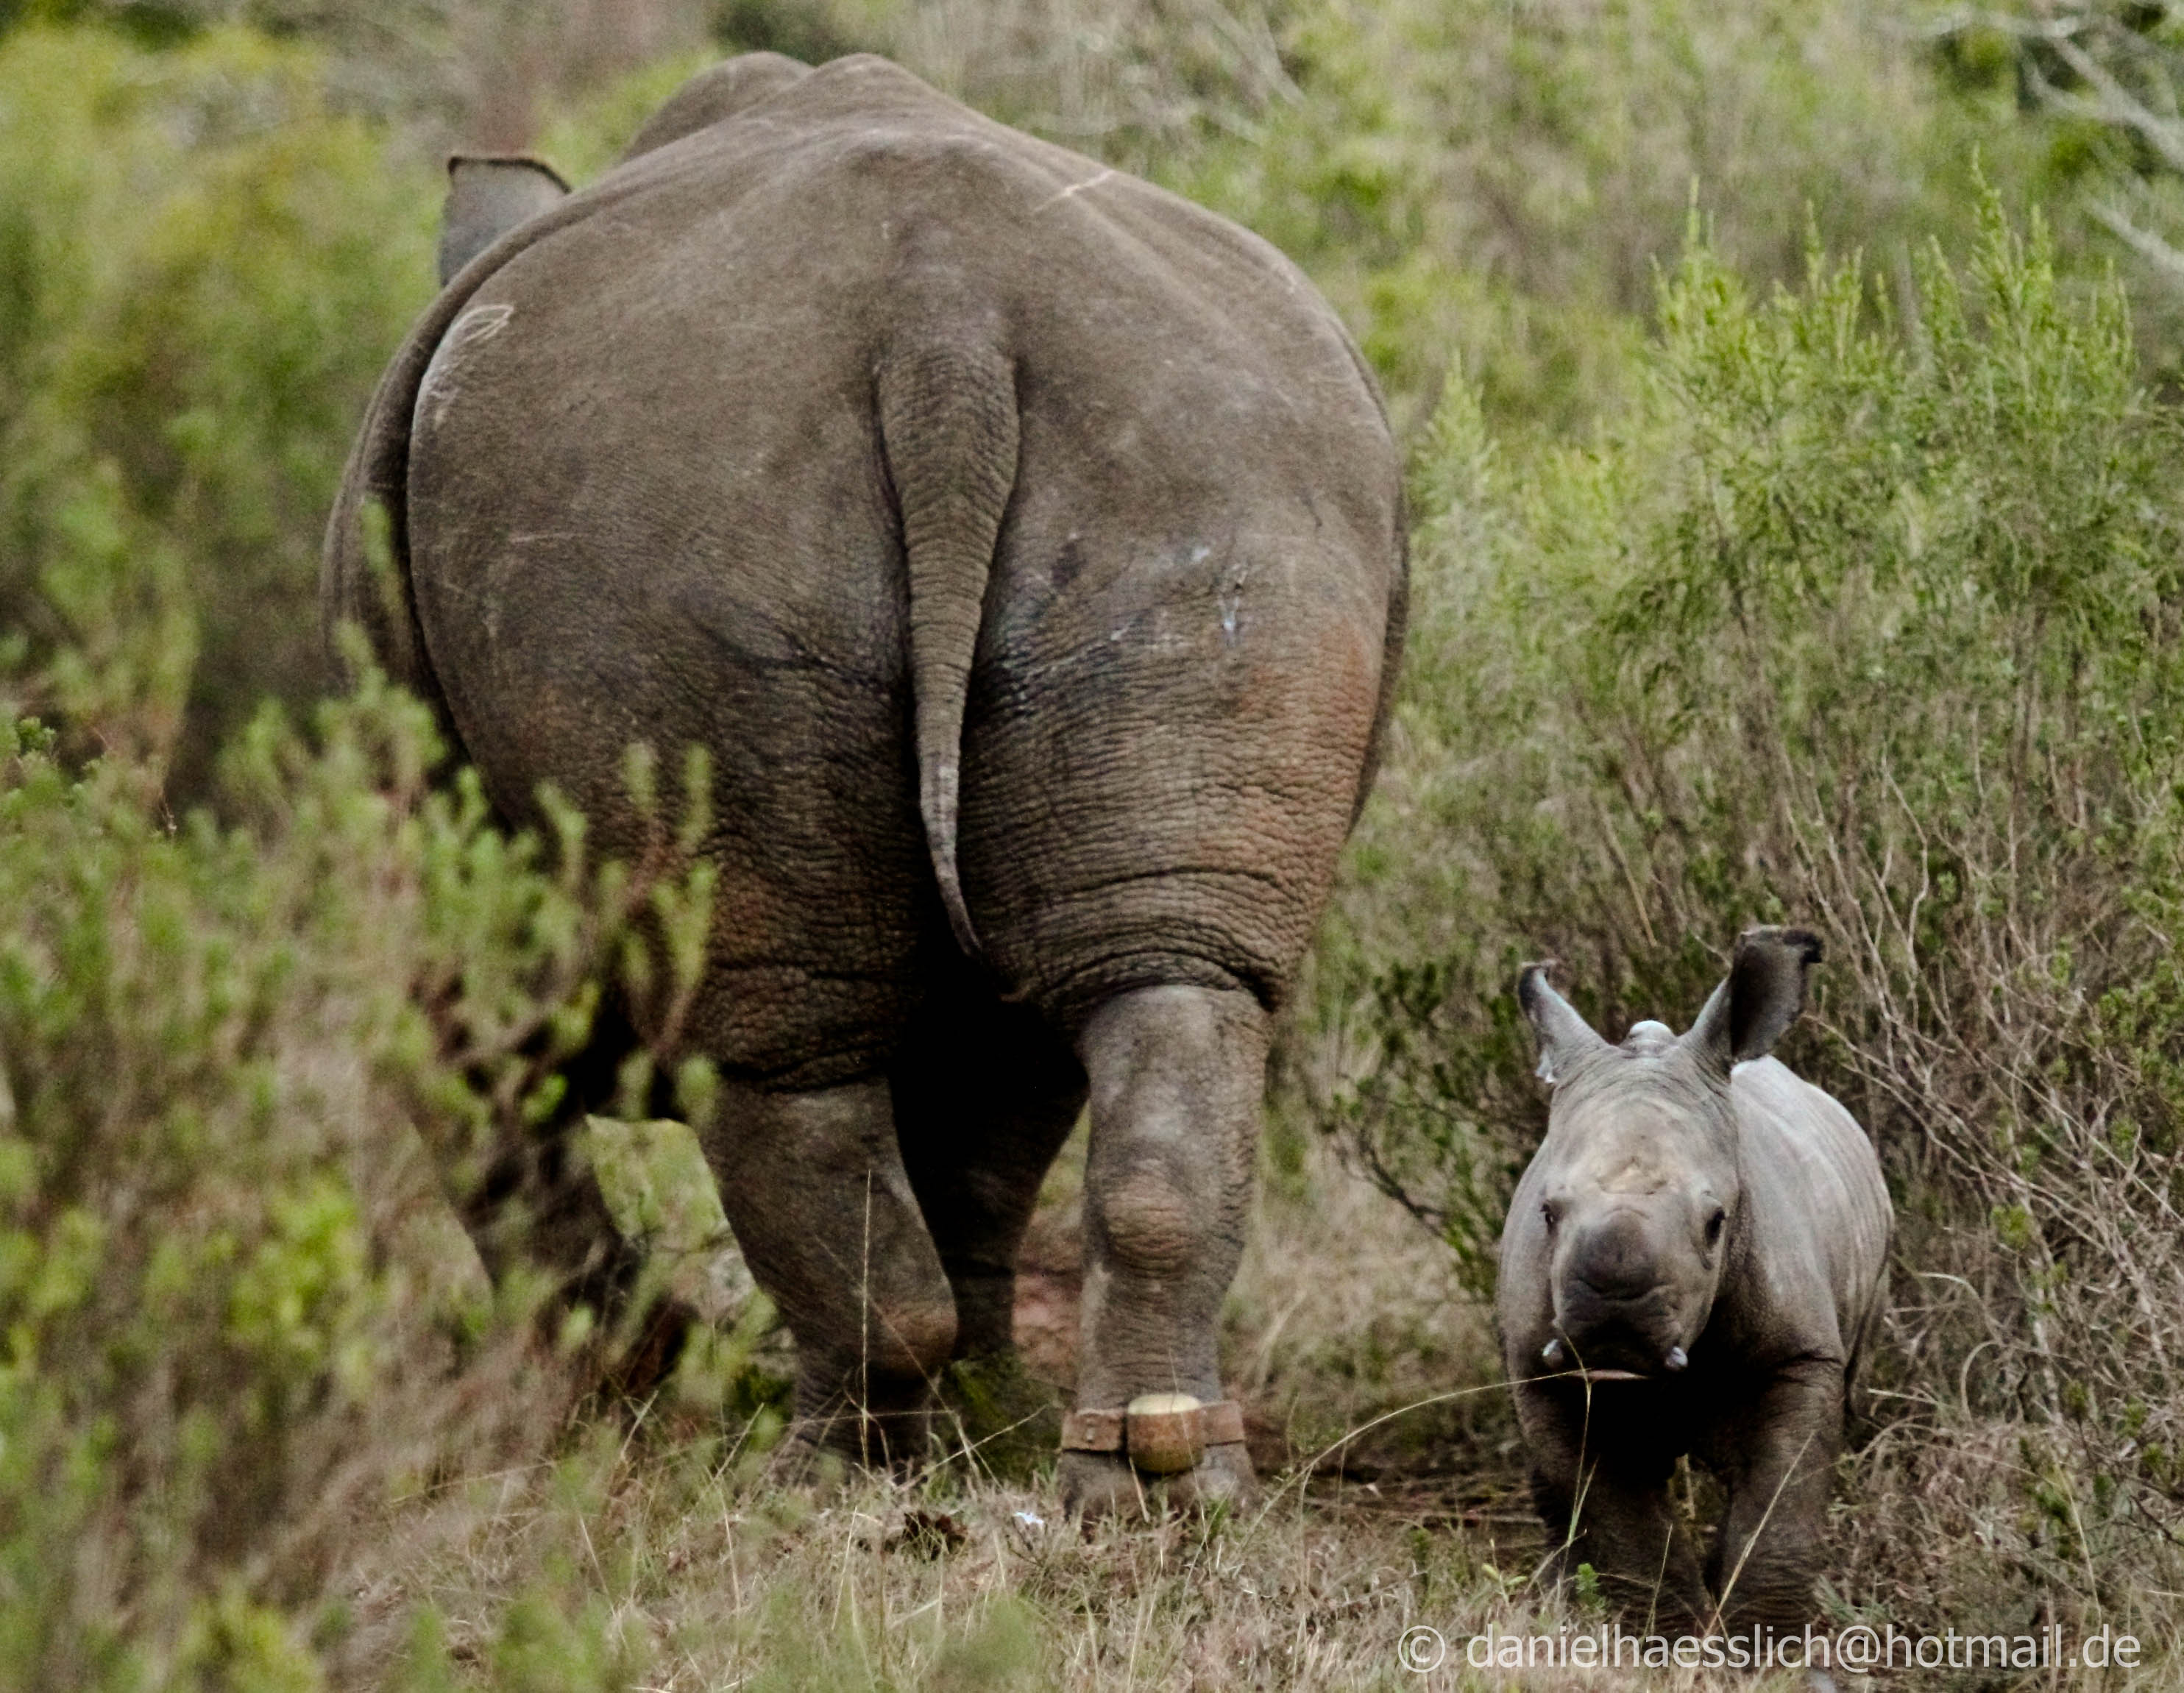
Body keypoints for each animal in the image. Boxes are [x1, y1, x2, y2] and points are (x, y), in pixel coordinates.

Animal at [325, 52, 1415, 1520]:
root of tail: (943, 329)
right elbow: (983, 1133)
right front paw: (972, 1419)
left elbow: (479, 1091)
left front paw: (608, 1395)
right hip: (1229, 490)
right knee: (1153, 988)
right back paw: (1131, 1485)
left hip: (669, 516)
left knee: (778, 1053)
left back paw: (822, 1478)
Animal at [1494, 934, 1887, 1633]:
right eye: (1547, 1213)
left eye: (1716, 1221)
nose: (1613, 1326)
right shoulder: (1545, 1372)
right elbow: (1620, 1520)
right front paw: (1664, 1636)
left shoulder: (1800, 1353)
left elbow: (1781, 1499)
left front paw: (1763, 1641)